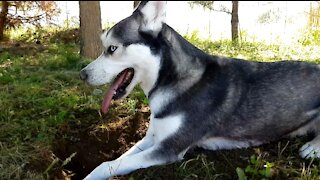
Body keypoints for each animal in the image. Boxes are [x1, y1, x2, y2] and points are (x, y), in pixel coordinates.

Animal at [79, 1, 320, 179]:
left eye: (112, 48)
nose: (82, 74)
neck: (172, 80)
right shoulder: (153, 138)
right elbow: (115, 161)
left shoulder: (169, 148)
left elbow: (108, 165)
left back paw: (312, 147)